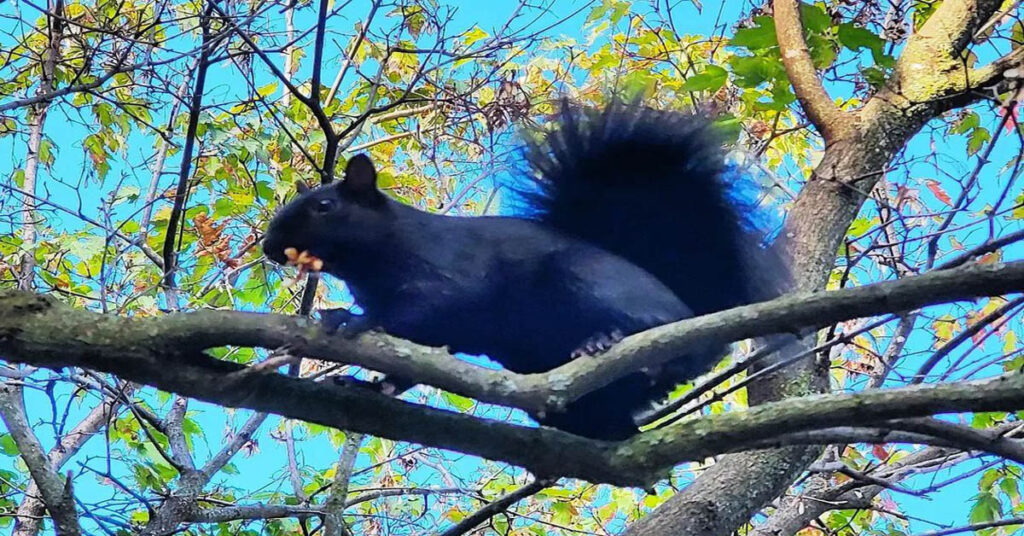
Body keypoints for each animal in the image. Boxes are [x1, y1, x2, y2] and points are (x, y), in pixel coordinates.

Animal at [260, 100, 786, 440]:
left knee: (657, 328)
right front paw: (368, 384)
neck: (374, 259)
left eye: (325, 206)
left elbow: (419, 312)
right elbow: (409, 360)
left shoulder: (446, 274)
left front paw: (350, 319)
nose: (270, 246)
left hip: (586, 280)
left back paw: (608, 340)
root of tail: (700, 313)